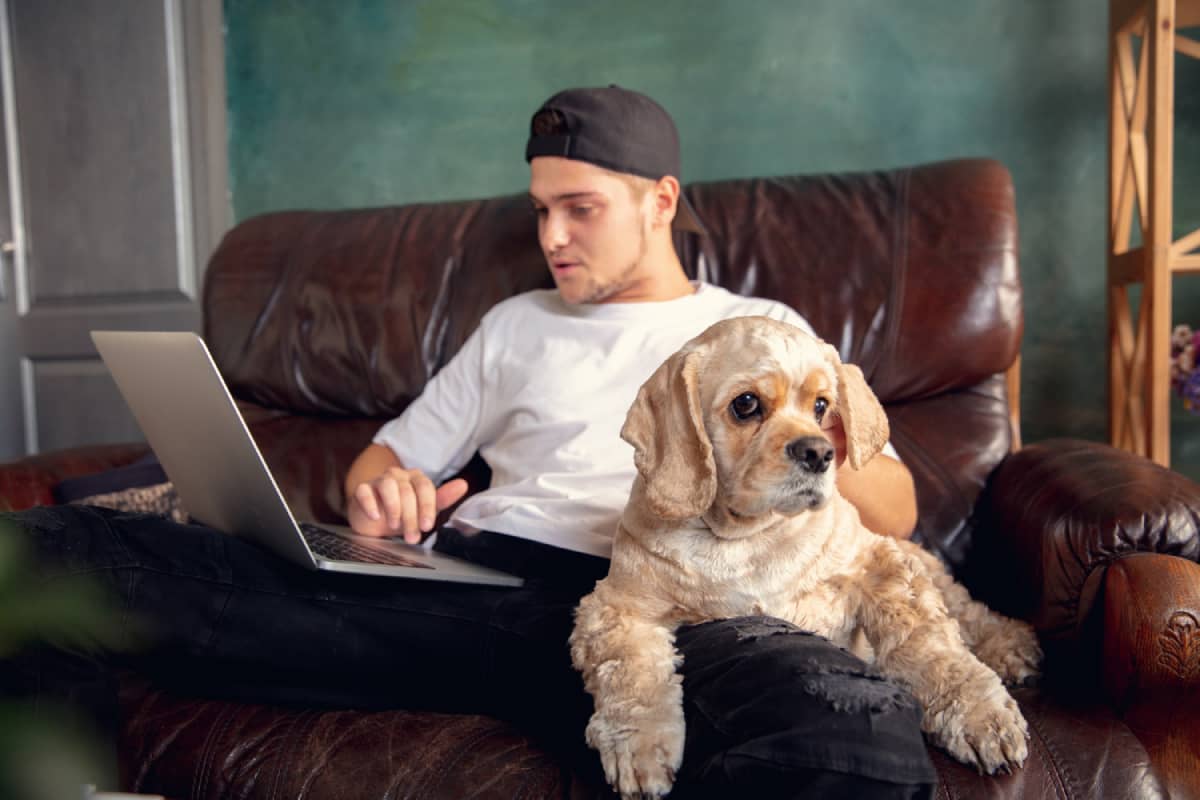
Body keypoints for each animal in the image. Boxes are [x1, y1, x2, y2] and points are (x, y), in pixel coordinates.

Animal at [571, 316, 1041, 796]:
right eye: (745, 404)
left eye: (821, 406)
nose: (819, 453)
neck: (745, 536)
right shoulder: (620, 607)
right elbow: (632, 673)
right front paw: (638, 746)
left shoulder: (880, 567)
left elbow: (931, 646)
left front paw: (982, 717)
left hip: (928, 568)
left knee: (969, 614)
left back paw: (1012, 647)